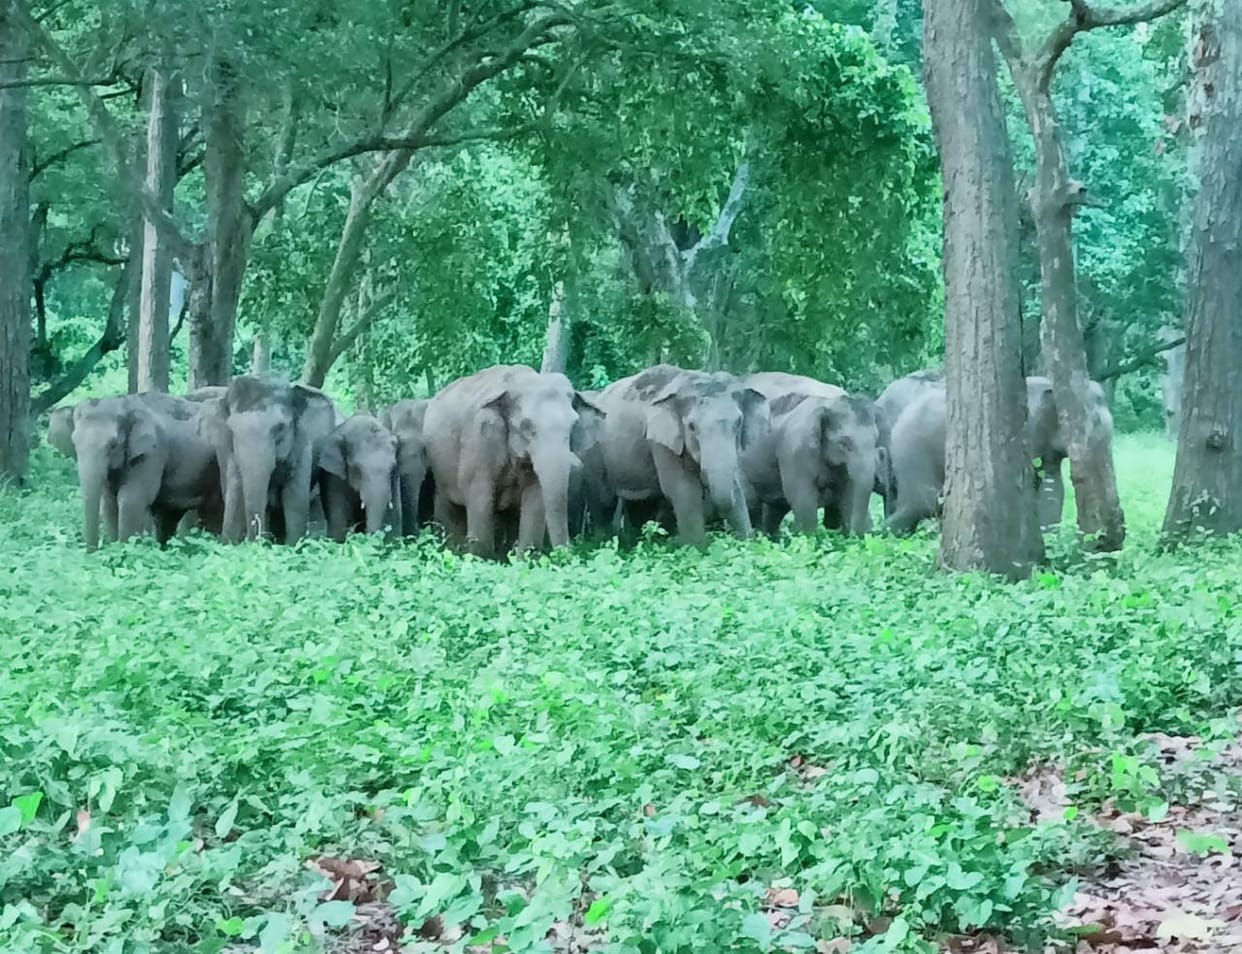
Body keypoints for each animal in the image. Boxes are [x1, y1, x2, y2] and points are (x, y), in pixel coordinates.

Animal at [67, 393, 223, 550]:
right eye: (74, 442)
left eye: (113, 445)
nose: (93, 551)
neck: (125, 403)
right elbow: (110, 502)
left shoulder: (150, 453)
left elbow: (130, 500)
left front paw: (125, 550)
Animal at [199, 376, 338, 544]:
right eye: (231, 429)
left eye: (280, 428)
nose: (254, 541)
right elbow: (235, 492)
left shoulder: (303, 447)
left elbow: (295, 499)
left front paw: (292, 546)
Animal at [423, 365, 605, 558]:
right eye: (527, 426)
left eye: (573, 426)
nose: (567, 553)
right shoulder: (478, 440)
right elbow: (478, 494)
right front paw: (480, 559)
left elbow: (535, 497)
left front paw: (522, 560)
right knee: (450, 509)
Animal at [595, 365, 768, 545]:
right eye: (691, 426)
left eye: (738, 422)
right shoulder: (661, 442)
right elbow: (684, 491)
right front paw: (698, 548)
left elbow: (736, 489)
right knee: (605, 501)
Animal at [742, 391, 880, 537]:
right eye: (843, 443)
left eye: (876, 440)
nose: (858, 536)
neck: (828, 404)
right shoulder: (796, 450)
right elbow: (803, 498)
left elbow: (849, 493)